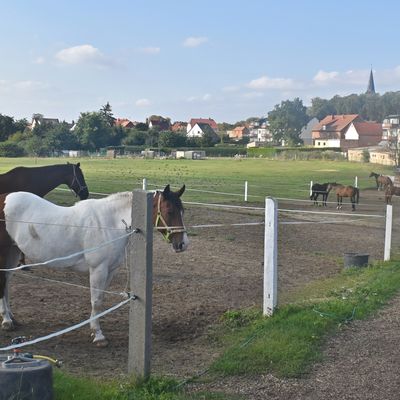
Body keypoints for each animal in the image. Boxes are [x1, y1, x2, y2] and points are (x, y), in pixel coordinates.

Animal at [0, 184, 188, 346]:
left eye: (182, 211)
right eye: (169, 210)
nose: (183, 244)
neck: (110, 223)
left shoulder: (110, 271)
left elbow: (101, 299)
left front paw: (93, 329)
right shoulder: (98, 269)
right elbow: (96, 301)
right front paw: (98, 336)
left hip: (14, 251)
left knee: (7, 280)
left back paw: (11, 317)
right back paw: (7, 321)